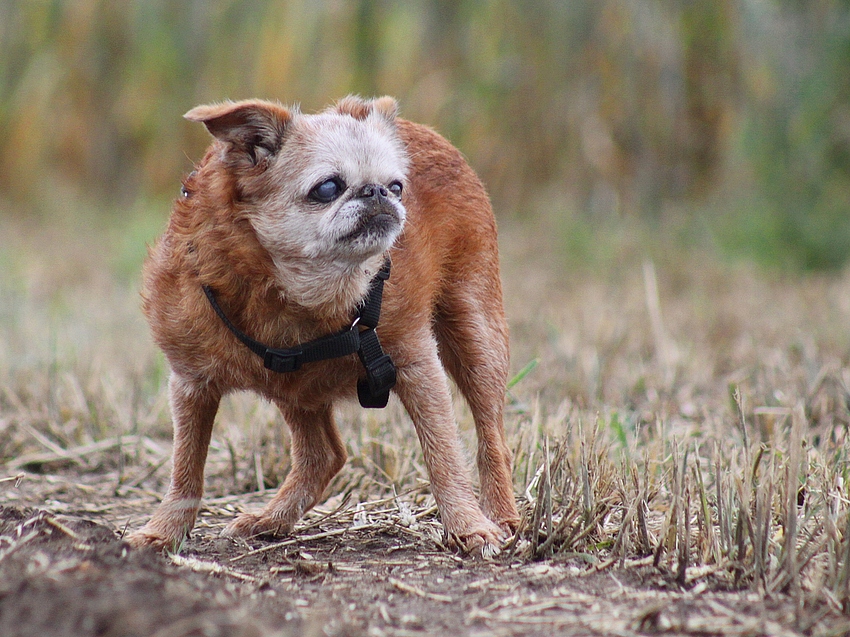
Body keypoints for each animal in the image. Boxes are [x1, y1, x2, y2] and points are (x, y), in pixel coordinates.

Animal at [126, 95, 516, 556]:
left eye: (397, 186)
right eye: (327, 188)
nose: (377, 191)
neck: (302, 298)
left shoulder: (418, 366)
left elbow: (443, 454)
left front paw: (467, 525)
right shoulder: (191, 385)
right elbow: (186, 467)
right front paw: (164, 531)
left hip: (476, 335)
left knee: (491, 437)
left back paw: (502, 516)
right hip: (294, 390)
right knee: (323, 455)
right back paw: (271, 519)